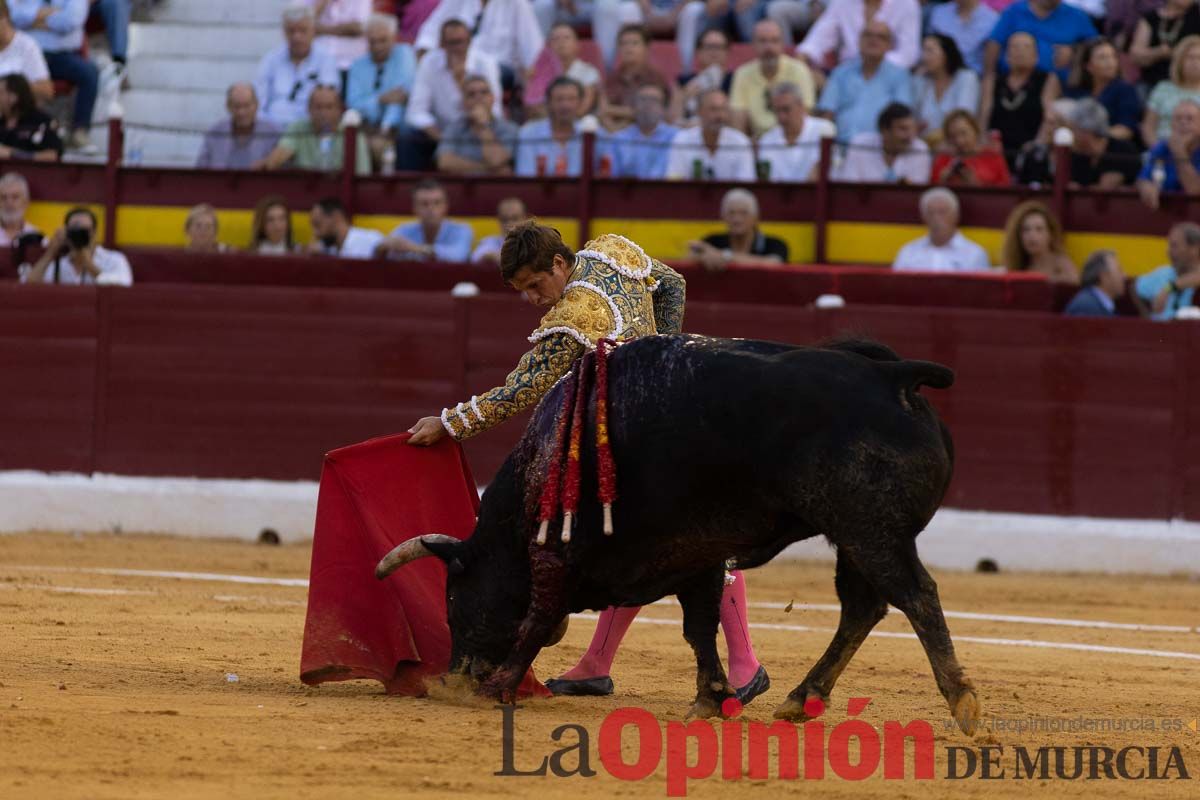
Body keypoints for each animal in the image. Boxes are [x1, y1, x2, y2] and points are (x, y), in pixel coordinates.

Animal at [379, 335, 979, 734]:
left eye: (454, 599)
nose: (454, 677)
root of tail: (892, 376)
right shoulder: (695, 554)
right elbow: (700, 626)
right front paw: (711, 699)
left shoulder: (554, 554)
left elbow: (535, 620)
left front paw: (496, 688)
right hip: (855, 538)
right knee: (863, 608)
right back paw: (801, 697)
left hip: (870, 529)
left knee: (915, 597)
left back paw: (964, 704)